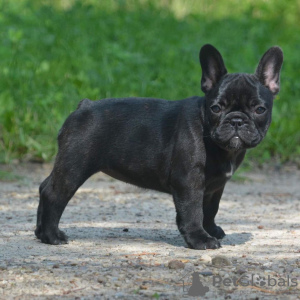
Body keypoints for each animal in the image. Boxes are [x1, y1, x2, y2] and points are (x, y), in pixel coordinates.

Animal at [35, 44, 284, 250]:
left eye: (260, 109)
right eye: (216, 108)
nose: (236, 120)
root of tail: (83, 106)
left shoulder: (215, 187)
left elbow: (210, 209)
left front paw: (211, 230)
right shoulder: (189, 182)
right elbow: (193, 210)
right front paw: (200, 239)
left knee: (44, 186)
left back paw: (39, 233)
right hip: (75, 164)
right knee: (53, 194)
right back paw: (51, 236)